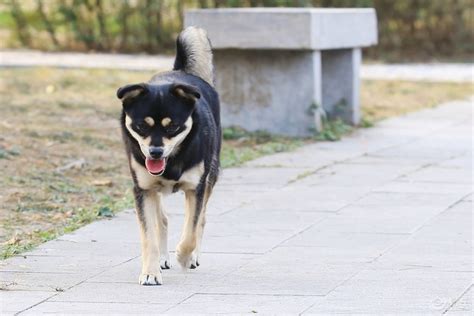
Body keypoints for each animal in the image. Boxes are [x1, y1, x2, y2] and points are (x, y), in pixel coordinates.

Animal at [118, 27, 222, 286]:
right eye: (141, 126)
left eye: (172, 126)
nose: (155, 152)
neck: (173, 160)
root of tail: (180, 70)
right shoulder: (143, 189)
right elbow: (149, 237)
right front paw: (150, 271)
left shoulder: (195, 187)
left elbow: (191, 231)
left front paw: (184, 257)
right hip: (153, 189)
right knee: (162, 220)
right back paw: (163, 258)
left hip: (212, 175)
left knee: (201, 220)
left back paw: (192, 257)